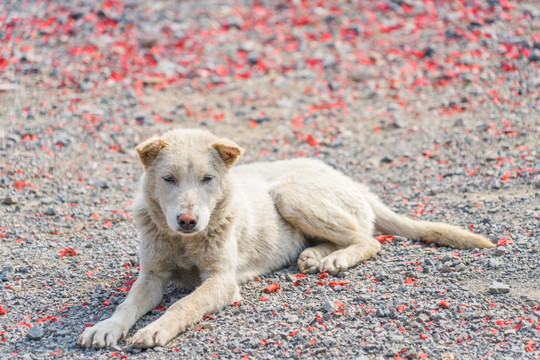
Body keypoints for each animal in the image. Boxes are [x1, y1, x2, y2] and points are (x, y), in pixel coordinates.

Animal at [78, 129, 496, 348]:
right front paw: (107, 327)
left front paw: (156, 328)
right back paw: (314, 255)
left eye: (207, 179)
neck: (182, 241)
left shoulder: (221, 281)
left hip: (290, 194)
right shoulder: (150, 277)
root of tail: (353, 181)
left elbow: (184, 305)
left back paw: (335, 258)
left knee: (369, 238)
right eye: (168, 179)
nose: (188, 220)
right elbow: (127, 306)